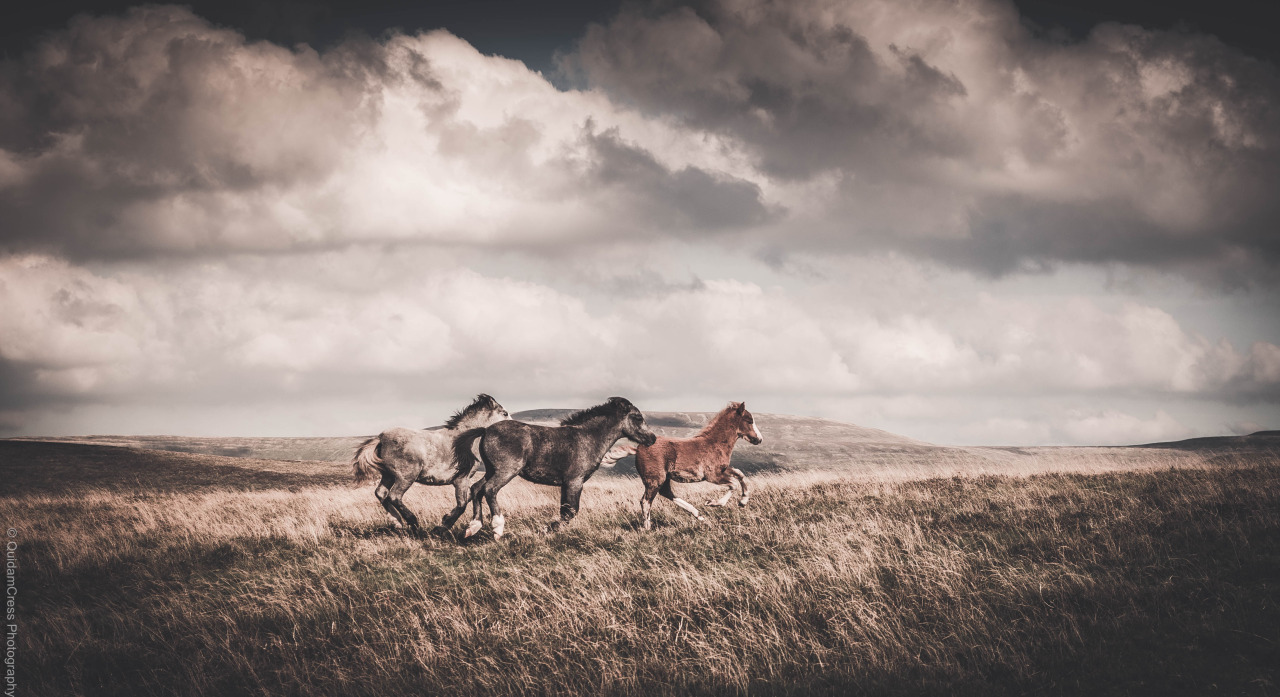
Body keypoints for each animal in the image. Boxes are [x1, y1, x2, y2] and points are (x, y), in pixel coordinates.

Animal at [353, 391, 512, 532]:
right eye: (504, 413)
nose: (514, 426)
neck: (465, 440)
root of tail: (381, 438)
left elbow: (468, 498)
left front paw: (445, 519)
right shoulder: (461, 479)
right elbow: (462, 504)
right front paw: (442, 527)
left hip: (388, 475)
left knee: (381, 493)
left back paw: (397, 522)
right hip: (406, 477)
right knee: (394, 496)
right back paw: (413, 522)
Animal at [450, 396, 655, 537]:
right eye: (637, 417)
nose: (652, 438)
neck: (588, 438)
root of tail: (485, 430)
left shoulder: (566, 484)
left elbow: (565, 510)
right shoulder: (575, 482)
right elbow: (570, 512)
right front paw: (546, 529)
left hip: (492, 470)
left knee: (476, 489)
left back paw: (473, 527)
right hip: (506, 471)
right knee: (489, 489)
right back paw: (497, 528)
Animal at [629, 401, 757, 526]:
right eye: (749, 421)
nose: (758, 439)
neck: (715, 444)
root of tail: (638, 448)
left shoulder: (722, 469)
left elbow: (740, 474)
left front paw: (743, 501)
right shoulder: (712, 476)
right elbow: (734, 483)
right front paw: (713, 503)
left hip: (664, 478)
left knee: (666, 493)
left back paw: (698, 515)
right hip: (655, 479)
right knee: (646, 502)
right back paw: (647, 529)